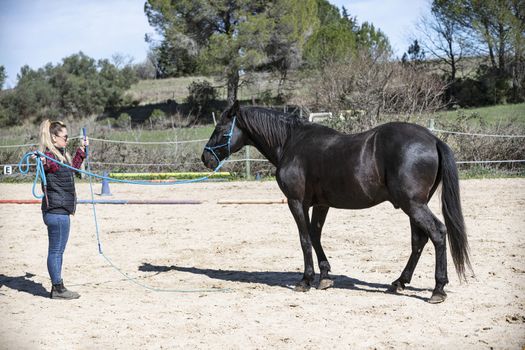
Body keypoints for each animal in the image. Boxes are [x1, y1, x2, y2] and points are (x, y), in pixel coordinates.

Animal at [201, 101, 470, 304]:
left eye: (221, 129)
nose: (205, 157)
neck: (291, 142)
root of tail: (432, 139)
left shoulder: (296, 202)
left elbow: (304, 239)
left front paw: (306, 280)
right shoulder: (321, 204)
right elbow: (315, 236)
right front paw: (325, 277)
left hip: (413, 205)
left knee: (437, 233)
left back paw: (437, 289)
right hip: (413, 206)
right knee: (419, 240)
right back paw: (399, 282)